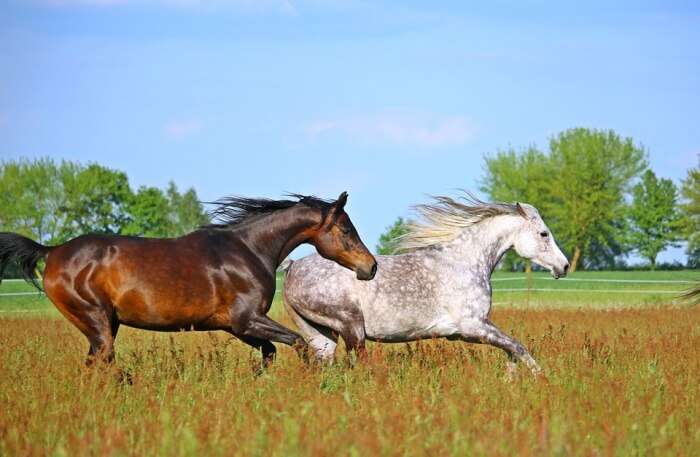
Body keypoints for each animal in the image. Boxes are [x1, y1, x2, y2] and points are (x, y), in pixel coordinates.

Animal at [0, 191, 378, 366]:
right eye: (346, 229)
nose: (371, 267)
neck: (249, 249)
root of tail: (53, 251)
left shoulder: (235, 326)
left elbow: (269, 353)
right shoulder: (247, 320)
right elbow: (298, 343)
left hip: (105, 324)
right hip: (96, 322)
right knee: (104, 362)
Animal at [284, 193, 568, 374]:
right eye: (544, 234)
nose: (563, 266)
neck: (465, 262)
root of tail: (291, 267)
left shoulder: (466, 332)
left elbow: (512, 350)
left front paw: (511, 378)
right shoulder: (472, 326)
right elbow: (517, 347)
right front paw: (540, 379)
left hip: (321, 334)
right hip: (351, 326)